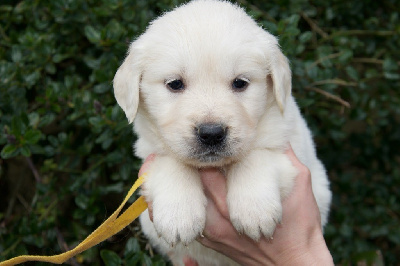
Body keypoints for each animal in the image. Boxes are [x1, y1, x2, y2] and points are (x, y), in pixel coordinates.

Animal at [111, 0, 332, 264]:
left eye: (240, 83)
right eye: (175, 84)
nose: (211, 133)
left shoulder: (287, 145)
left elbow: (257, 155)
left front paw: (254, 210)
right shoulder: (151, 150)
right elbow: (172, 162)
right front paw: (178, 214)